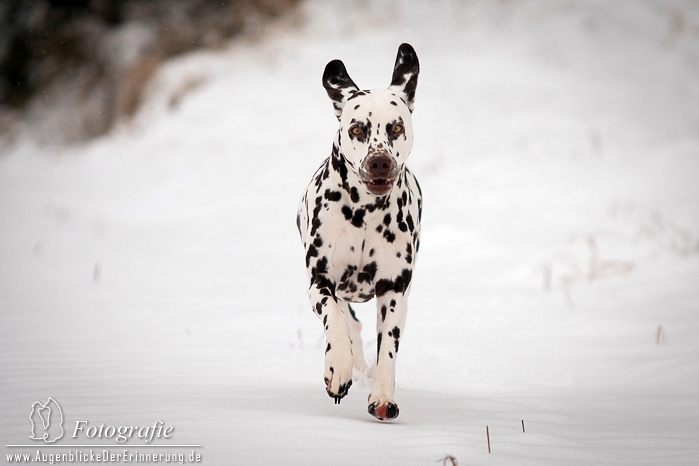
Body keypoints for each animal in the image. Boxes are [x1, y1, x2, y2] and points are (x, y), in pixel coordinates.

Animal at [296, 44, 422, 422]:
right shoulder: (320, 282)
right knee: (348, 322)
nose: (380, 161)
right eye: (356, 129)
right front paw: (337, 368)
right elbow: (336, 320)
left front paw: (382, 396)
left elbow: (388, 350)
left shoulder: (393, 290)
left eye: (396, 127)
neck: (365, 214)